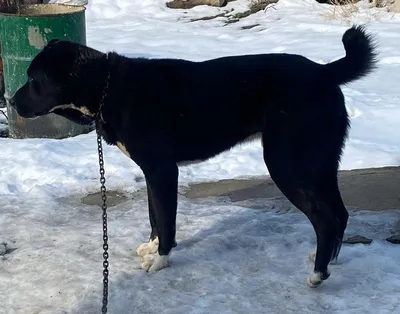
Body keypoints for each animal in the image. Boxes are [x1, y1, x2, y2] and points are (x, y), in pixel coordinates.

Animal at [10, 25, 378, 288]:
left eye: (34, 79)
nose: (11, 102)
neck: (107, 87)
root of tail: (324, 72)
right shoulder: (152, 173)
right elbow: (154, 215)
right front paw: (152, 247)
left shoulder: (162, 170)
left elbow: (166, 219)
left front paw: (160, 260)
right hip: (320, 164)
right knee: (339, 215)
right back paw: (329, 258)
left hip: (287, 164)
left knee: (325, 218)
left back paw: (318, 274)